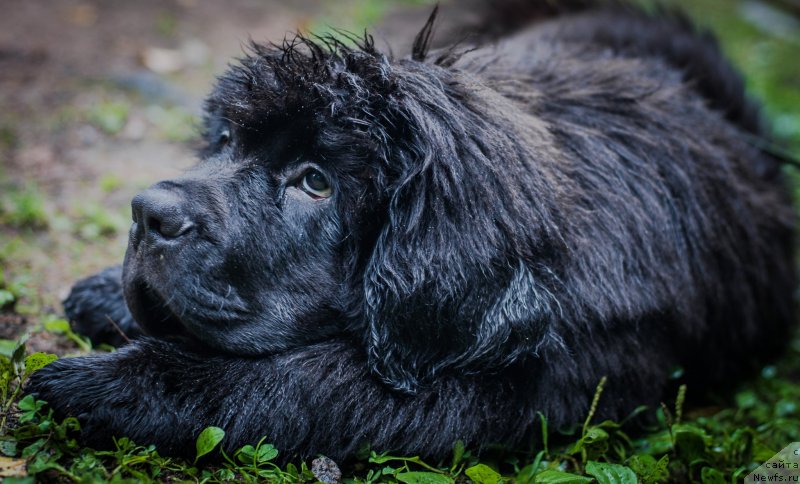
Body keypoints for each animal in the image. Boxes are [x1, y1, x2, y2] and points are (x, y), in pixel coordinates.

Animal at [28, 0, 796, 462]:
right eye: (222, 142)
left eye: (316, 181)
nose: (147, 212)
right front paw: (106, 294)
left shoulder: (513, 387)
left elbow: (301, 381)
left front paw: (104, 384)